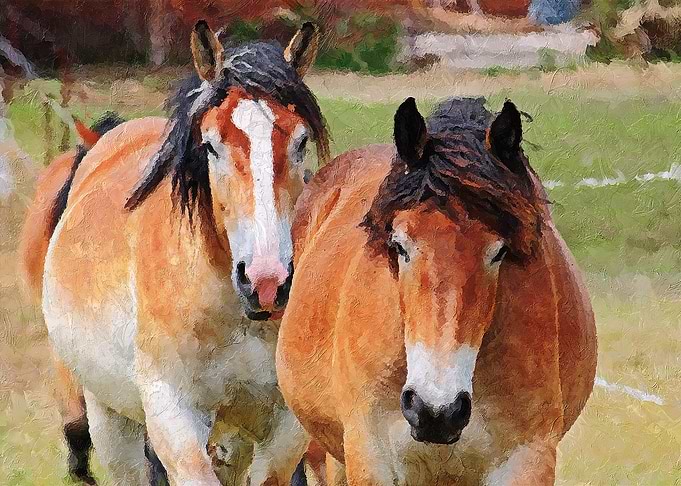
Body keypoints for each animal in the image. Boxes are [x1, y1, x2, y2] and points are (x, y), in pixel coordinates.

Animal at [39, 20, 328, 485]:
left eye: (301, 142)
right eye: (210, 145)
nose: (266, 282)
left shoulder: (284, 430)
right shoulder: (173, 416)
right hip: (109, 417)